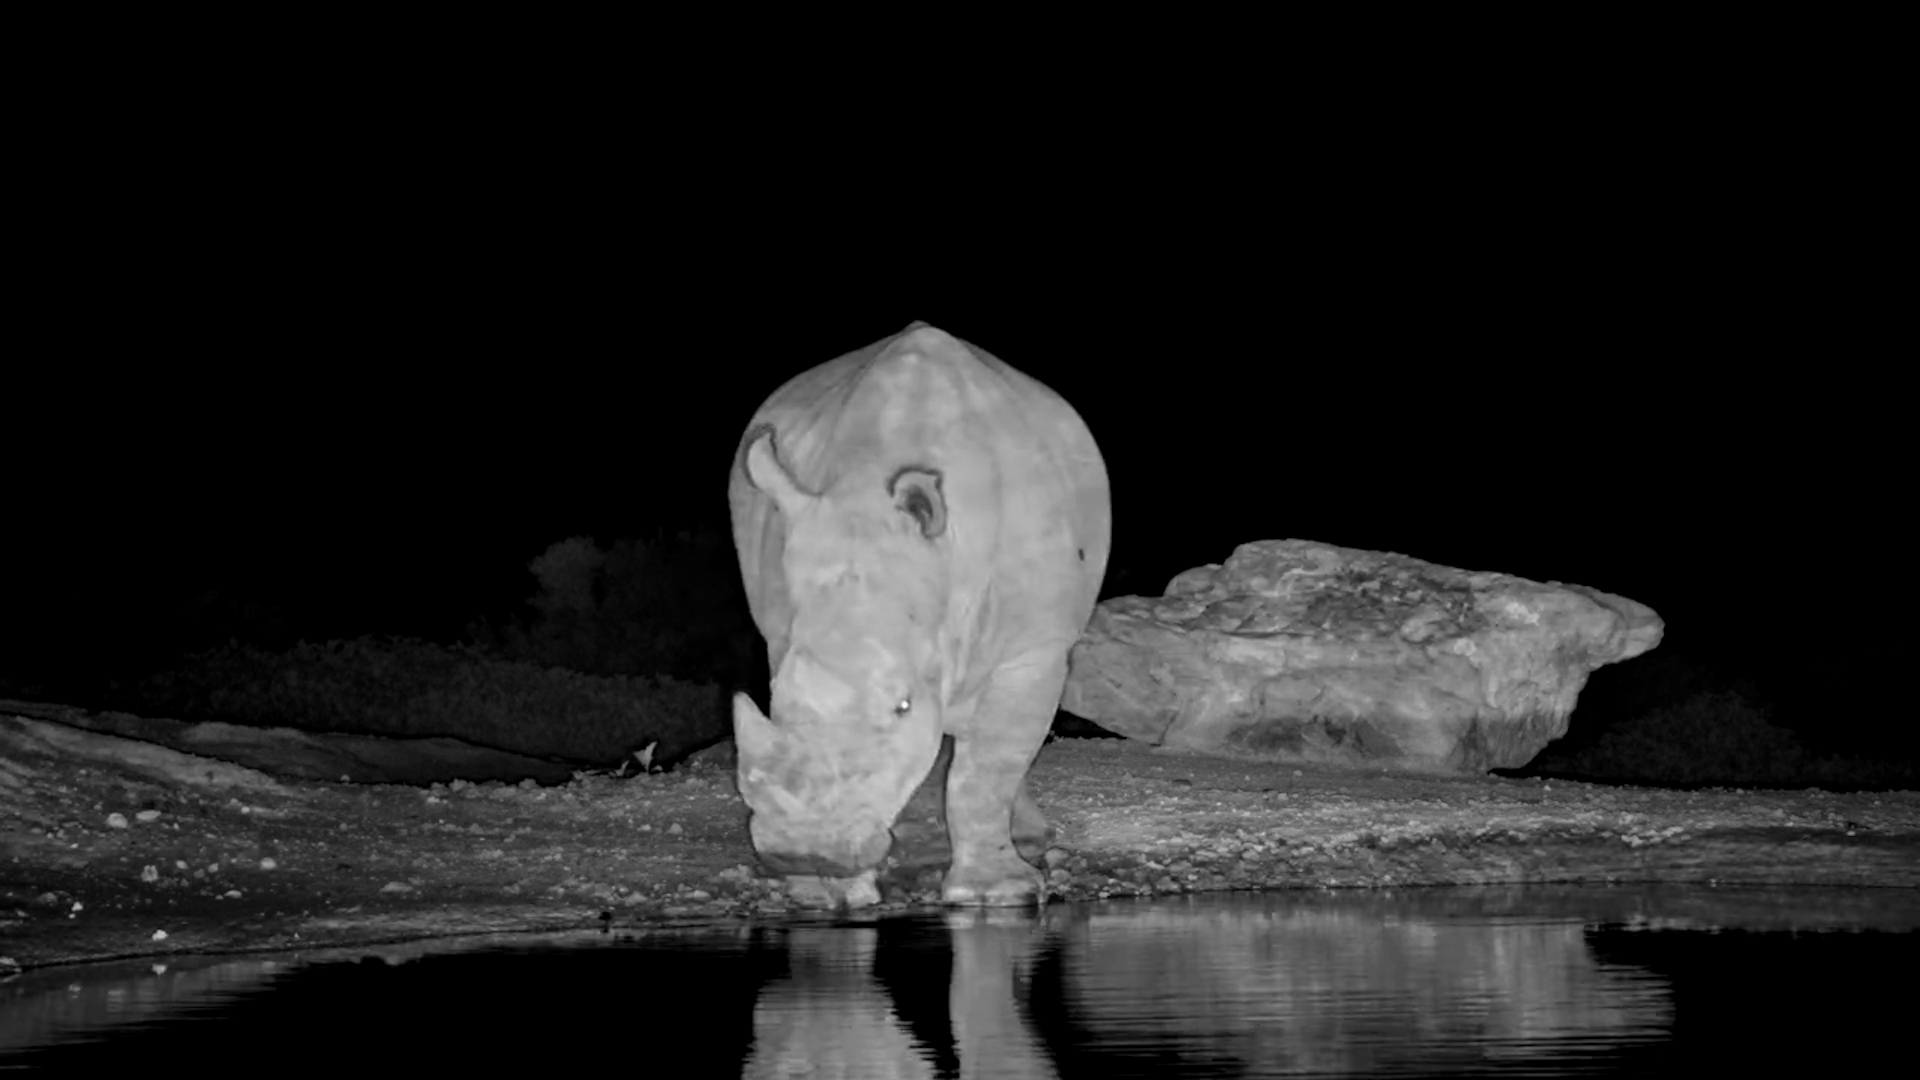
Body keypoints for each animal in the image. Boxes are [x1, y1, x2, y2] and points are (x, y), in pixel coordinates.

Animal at [729, 323, 1110, 906]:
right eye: (774, 700)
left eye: (903, 706)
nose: (802, 854)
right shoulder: (788, 623)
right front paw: (828, 895)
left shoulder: (1035, 647)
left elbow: (987, 767)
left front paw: (995, 894)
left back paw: (1027, 837)